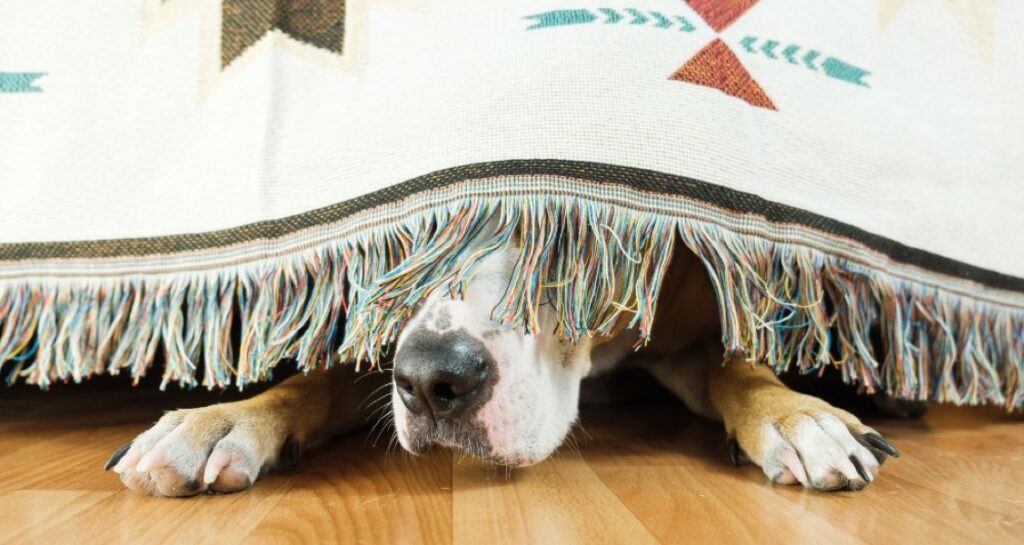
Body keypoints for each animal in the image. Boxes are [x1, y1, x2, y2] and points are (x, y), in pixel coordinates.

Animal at [108, 232, 901, 495]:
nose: (432, 380)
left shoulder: (689, 333)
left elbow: (742, 366)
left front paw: (799, 417)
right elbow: (316, 379)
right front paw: (221, 421)